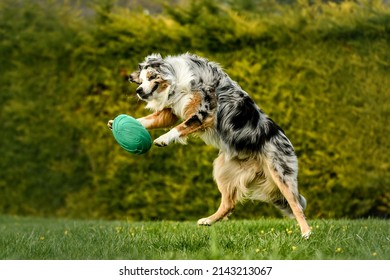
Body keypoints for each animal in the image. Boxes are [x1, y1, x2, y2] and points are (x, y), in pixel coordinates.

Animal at [108, 53, 312, 238]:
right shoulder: (171, 111)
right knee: (229, 203)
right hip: (223, 169)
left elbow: (180, 127)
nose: (139, 90)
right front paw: (119, 123)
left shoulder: (204, 113)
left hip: (280, 172)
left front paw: (163, 139)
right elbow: (150, 120)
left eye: (151, 77)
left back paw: (306, 233)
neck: (177, 79)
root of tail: (284, 139)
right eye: (141, 79)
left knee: (296, 205)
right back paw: (208, 220)